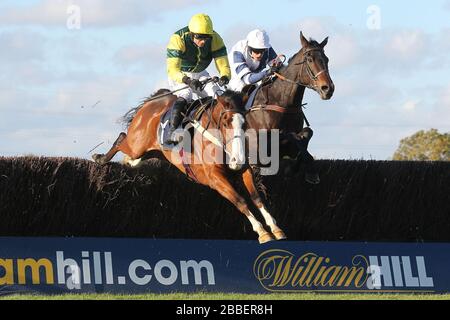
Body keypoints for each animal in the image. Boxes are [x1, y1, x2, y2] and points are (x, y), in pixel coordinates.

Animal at [93, 79, 286, 242]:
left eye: (244, 123)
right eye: (225, 122)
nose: (237, 159)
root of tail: (152, 102)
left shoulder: (243, 170)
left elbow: (257, 197)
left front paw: (276, 229)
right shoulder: (214, 178)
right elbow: (241, 201)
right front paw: (262, 232)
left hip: (152, 153)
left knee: (131, 156)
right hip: (136, 144)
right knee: (121, 138)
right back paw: (100, 158)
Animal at [243, 32, 334, 182]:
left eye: (326, 59)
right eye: (310, 59)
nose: (328, 88)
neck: (282, 101)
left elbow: (307, 133)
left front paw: (299, 169)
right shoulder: (263, 145)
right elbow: (290, 135)